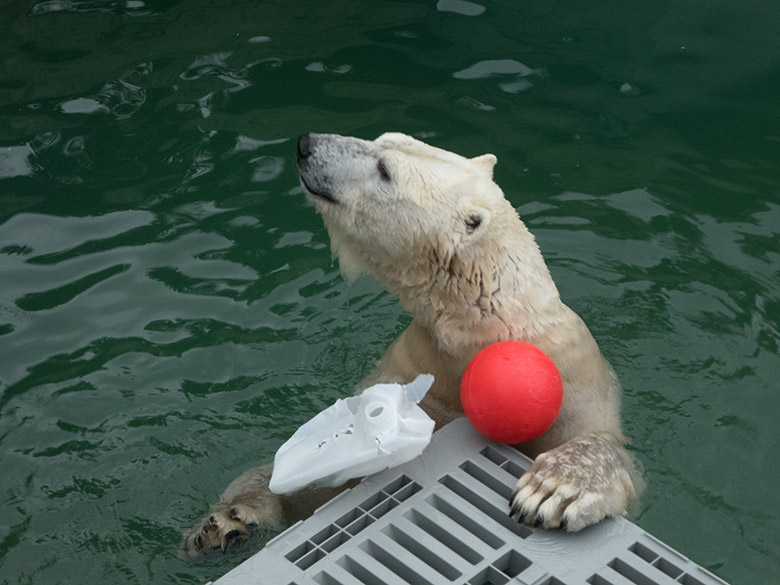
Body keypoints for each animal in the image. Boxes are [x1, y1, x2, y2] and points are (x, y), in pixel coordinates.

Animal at [178, 132, 640, 556]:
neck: (478, 331)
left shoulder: (569, 375)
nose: (306, 143)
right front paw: (231, 518)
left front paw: (553, 490)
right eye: (381, 139)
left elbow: (600, 442)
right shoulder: (413, 361)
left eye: (385, 170)